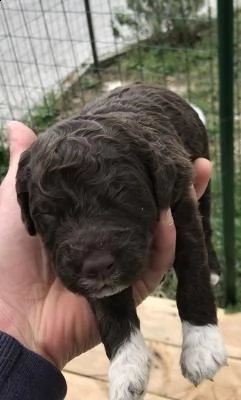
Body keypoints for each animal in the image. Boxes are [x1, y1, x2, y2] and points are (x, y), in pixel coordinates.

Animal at [16, 83, 227, 398]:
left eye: (121, 196)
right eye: (48, 214)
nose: (97, 267)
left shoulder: (181, 207)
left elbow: (193, 276)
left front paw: (201, 346)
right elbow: (110, 310)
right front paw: (127, 368)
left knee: (208, 227)